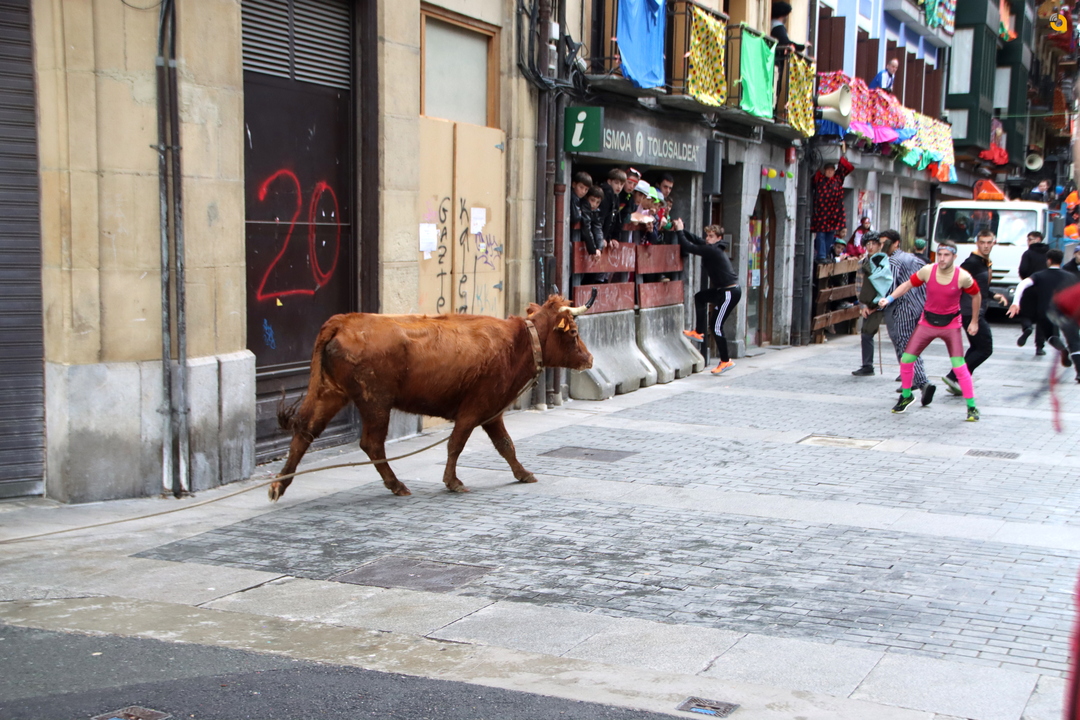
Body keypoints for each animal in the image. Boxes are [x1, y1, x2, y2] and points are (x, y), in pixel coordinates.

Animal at [268, 291, 596, 501]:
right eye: (573, 332)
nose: (590, 358)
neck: (517, 342)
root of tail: (344, 320)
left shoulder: (493, 412)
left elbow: (506, 446)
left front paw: (523, 473)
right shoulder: (475, 407)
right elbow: (456, 444)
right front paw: (453, 481)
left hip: (330, 393)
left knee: (304, 433)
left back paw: (279, 485)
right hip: (376, 401)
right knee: (371, 444)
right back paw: (396, 484)